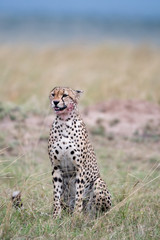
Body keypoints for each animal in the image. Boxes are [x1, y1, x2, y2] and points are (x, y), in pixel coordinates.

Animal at [48, 86, 112, 218]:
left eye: (65, 95)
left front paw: (77, 216)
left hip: (98, 183)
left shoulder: (79, 167)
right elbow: (56, 195)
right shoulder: (56, 167)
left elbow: (79, 194)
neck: (64, 121)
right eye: (53, 94)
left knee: (95, 210)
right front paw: (56, 215)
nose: (55, 102)